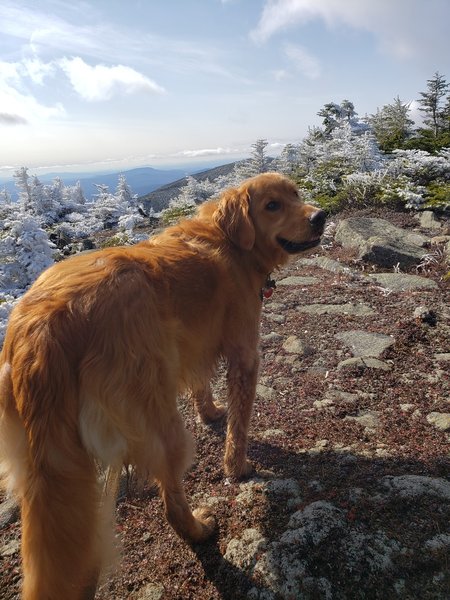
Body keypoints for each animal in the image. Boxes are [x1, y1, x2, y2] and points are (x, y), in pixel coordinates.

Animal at [0, 171, 324, 596]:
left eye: (296, 194)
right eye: (272, 205)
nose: (321, 216)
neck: (230, 241)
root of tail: (42, 324)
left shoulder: (191, 346)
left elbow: (201, 385)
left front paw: (210, 412)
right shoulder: (244, 355)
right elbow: (239, 426)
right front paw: (237, 467)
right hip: (160, 424)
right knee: (170, 501)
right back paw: (199, 529)